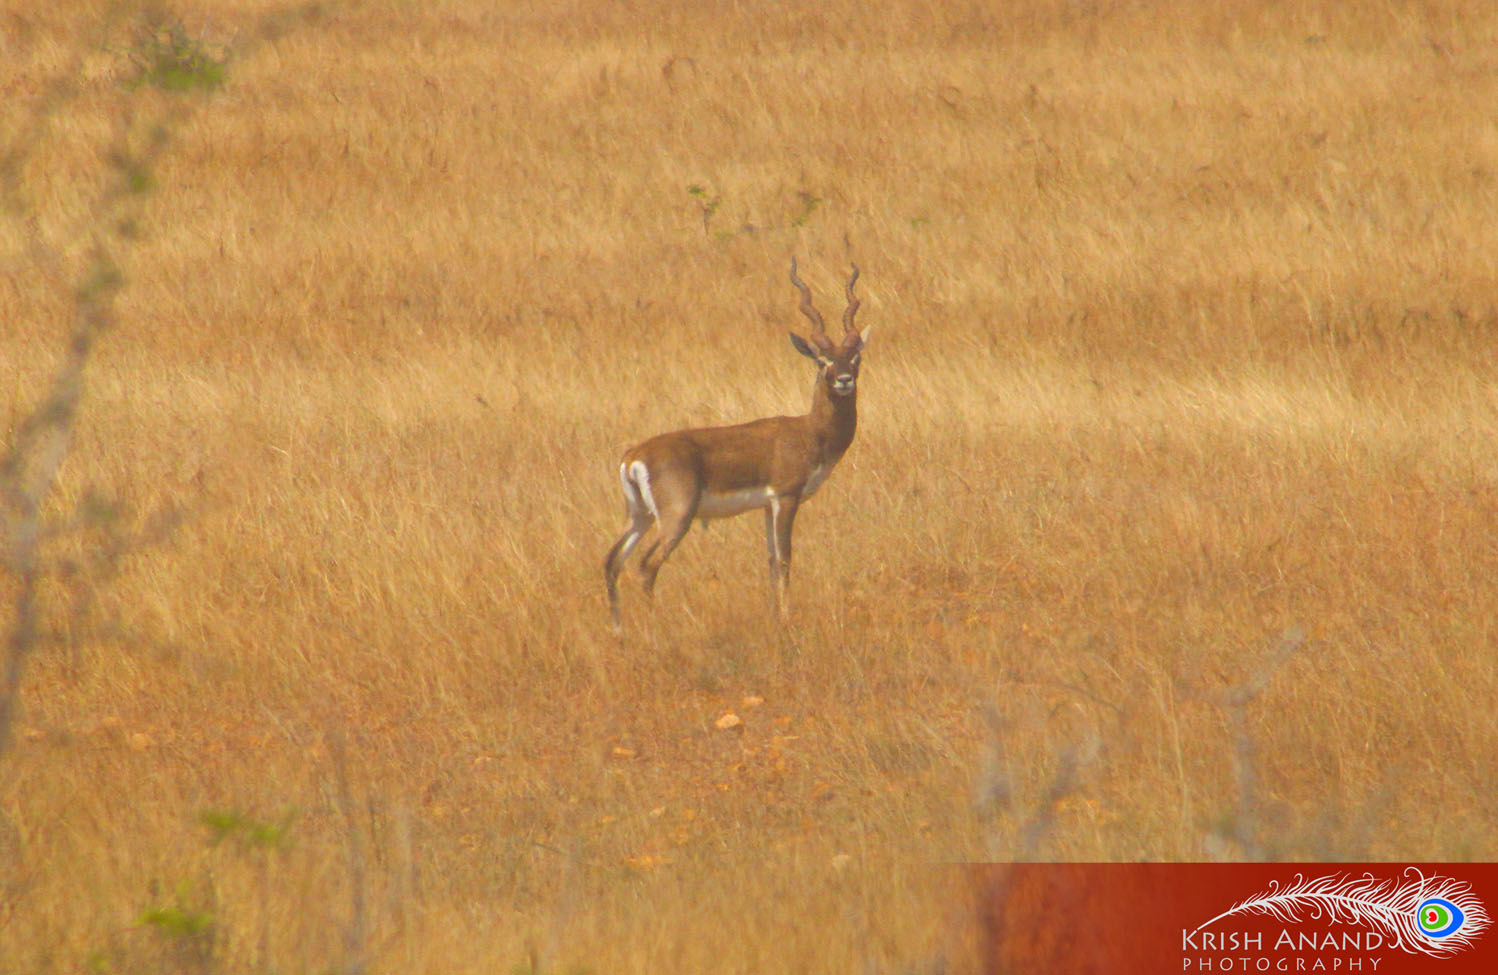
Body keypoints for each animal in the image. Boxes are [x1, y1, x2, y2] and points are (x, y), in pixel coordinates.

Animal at [604, 259, 871, 630]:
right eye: (822, 361)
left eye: (855, 357)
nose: (845, 380)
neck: (809, 432)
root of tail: (634, 456)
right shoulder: (786, 497)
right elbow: (786, 559)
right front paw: (786, 620)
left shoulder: (766, 505)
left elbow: (771, 561)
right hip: (676, 517)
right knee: (646, 566)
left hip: (638, 515)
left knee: (612, 561)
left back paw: (619, 631)